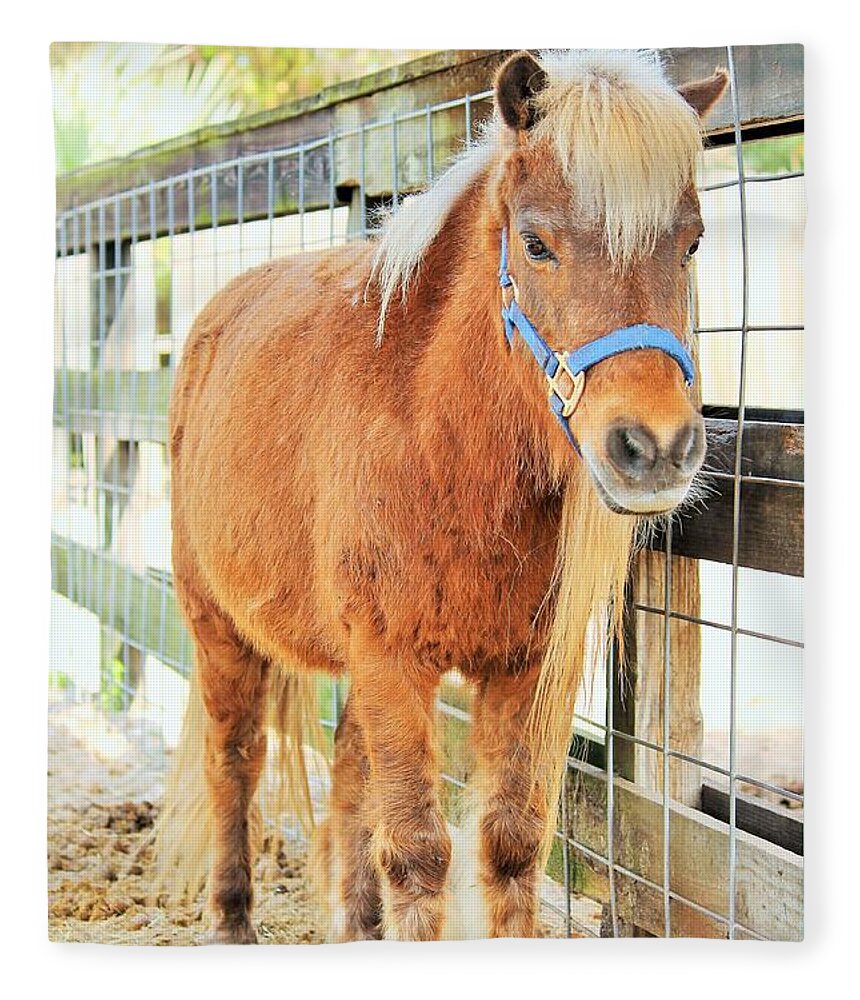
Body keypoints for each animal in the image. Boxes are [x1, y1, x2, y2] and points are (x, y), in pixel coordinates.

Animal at [155, 49, 728, 943]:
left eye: (692, 241)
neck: (444, 445)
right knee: (234, 760)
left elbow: (510, 844)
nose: (656, 449)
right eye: (535, 244)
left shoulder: (525, 670)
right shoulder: (392, 659)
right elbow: (419, 854)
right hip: (219, 627)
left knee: (349, 775)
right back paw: (231, 918)